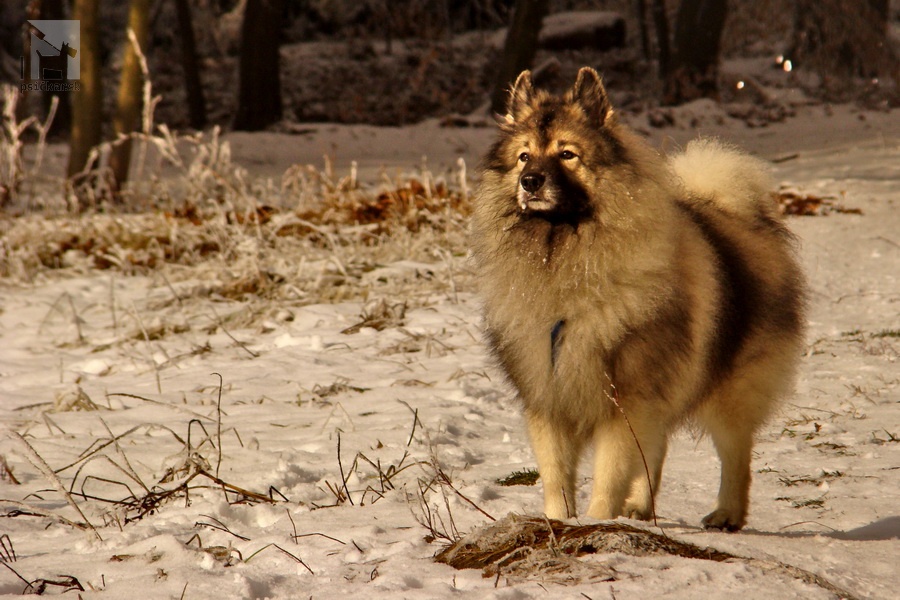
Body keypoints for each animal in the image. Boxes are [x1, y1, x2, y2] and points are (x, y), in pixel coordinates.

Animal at [472, 68, 808, 532]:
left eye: (568, 154)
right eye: (524, 157)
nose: (531, 182)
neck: (564, 267)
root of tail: (741, 215)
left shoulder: (627, 402)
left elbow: (608, 475)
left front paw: (596, 522)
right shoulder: (548, 399)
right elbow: (557, 479)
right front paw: (560, 524)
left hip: (730, 392)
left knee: (735, 454)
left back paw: (727, 513)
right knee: (657, 450)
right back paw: (639, 508)